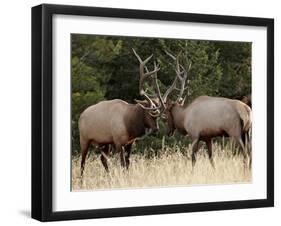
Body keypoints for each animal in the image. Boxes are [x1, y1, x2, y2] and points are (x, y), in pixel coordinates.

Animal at [79, 49, 162, 177]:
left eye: (158, 116)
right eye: (150, 113)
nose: (156, 129)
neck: (129, 123)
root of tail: (80, 116)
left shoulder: (129, 143)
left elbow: (127, 165)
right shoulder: (118, 142)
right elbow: (122, 164)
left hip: (104, 143)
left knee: (102, 159)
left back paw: (109, 176)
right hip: (84, 139)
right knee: (82, 162)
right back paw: (82, 179)